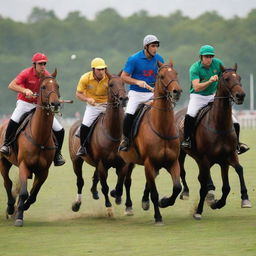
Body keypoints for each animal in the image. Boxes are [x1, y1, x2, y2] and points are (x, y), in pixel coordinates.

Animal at [0, 70, 61, 226]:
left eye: (57, 86)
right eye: (43, 87)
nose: (55, 104)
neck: (39, 137)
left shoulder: (43, 171)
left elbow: (33, 194)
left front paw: (23, 207)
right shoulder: (24, 165)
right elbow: (23, 192)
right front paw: (19, 216)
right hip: (3, 161)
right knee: (7, 182)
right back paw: (10, 207)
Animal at [68, 74, 132, 216]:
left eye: (123, 83)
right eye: (111, 84)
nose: (124, 99)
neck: (113, 133)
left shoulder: (122, 164)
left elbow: (120, 183)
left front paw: (117, 196)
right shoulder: (103, 164)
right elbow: (105, 187)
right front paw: (109, 207)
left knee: (95, 177)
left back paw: (94, 192)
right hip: (76, 160)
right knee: (80, 181)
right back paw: (77, 204)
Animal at [118, 62, 182, 224]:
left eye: (176, 73)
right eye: (162, 76)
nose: (177, 92)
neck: (162, 128)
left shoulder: (172, 161)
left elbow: (177, 187)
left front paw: (164, 202)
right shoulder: (149, 162)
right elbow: (154, 193)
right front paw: (158, 217)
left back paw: (143, 201)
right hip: (128, 160)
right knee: (126, 180)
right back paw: (121, 198)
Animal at [175, 64, 251, 220]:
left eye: (239, 77)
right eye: (226, 78)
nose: (240, 95)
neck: (219, 125)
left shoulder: (227, 157)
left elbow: (235, 175)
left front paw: (243, 199)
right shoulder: (206, 158)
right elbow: (204, 184)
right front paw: (198, 211)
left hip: (199, 158)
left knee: (203, 177)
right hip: (182, 153)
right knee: (184, 172)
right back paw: (185, 192)